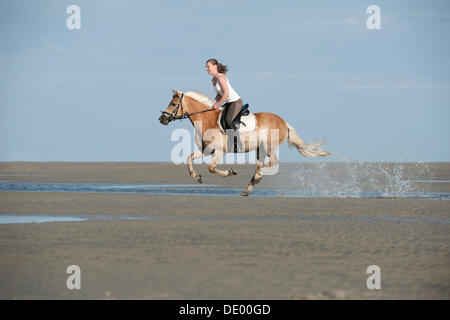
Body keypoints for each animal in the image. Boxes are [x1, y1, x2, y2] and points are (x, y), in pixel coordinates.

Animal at [159, 89, 330, 196]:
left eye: (173, 104)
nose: (162, 119)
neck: (207, 120)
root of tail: (284, 122)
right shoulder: (206, 150)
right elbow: (189, 159)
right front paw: (197, 178)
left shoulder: (219, 152)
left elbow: (211, 168)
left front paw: (230, 172)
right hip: (260, 149)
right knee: (261, 165)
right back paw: (248, 188)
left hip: (269, 148)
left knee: (269, 164)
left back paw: (256, 178)